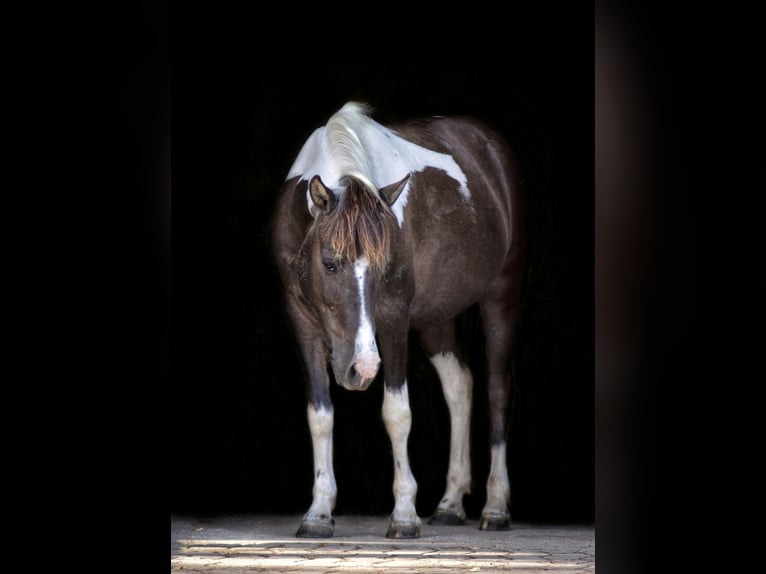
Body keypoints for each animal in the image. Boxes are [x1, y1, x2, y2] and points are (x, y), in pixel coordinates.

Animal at [271, 102, 527, 539]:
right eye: (329, 263)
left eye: (381, 266)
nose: (361, 369)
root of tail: (490, 145)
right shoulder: (300, 319)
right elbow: (320, 415)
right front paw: (318, 512)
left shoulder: (393, 317)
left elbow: (397, 413)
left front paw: (405, 514)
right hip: (437, 319)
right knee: (460, 386)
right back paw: (449, 504)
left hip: (501, 297)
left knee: (497, 391)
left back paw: (495, 507)